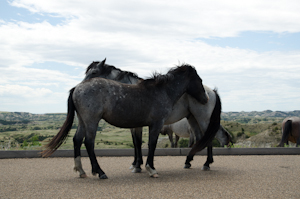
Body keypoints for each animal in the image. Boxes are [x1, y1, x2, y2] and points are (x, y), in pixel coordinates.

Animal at [42, 59, 219, 179]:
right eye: (199, 80)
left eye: (94, 71)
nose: (205, 99)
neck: (162, 91)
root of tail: (77, 89)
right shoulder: (155, 124)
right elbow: (150, 144)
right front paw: (150, 168)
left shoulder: (141, 126)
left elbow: (140, 144)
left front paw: (139, 166)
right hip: (91, 121)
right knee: (88, 143)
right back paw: (100, 172)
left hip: (83, 122)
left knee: (77, 140)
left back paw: (81, 171)